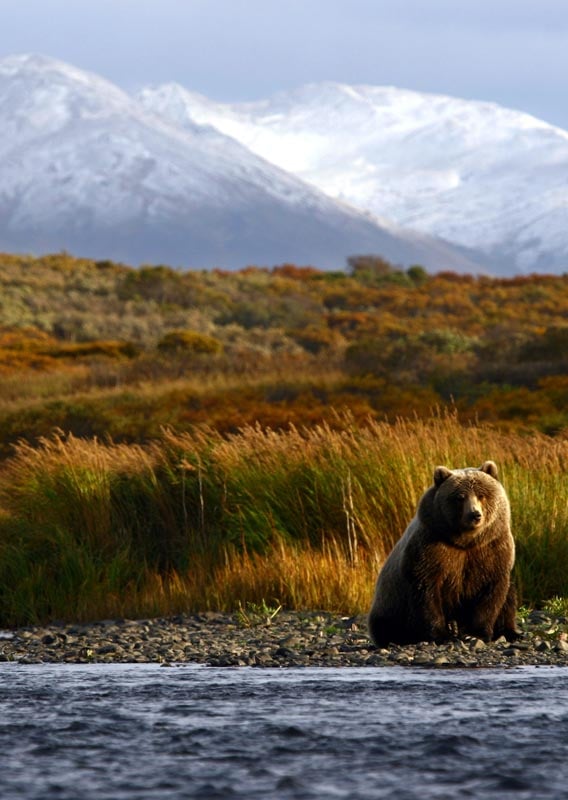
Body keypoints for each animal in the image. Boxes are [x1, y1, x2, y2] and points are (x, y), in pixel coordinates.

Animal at [368, 460, 520, 648]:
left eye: (482, 495)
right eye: (460, 497)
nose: (475, 514)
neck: (465, 541)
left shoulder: (492, 549)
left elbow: (491, 594)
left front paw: (476, 633)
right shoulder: (432, 548)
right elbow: (427, 592)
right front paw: (441, 635)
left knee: (509, 598)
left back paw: (511, 633)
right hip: (391, 604)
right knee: (387, 625)